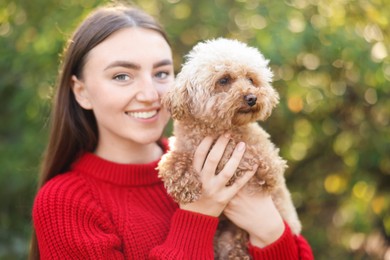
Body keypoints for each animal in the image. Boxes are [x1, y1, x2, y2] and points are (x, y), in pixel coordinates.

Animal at [158, 37, 302, 258]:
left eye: (251, 79)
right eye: (224, 80)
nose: (252, 98)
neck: (215, 128)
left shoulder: (268, 163)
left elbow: (241, 153)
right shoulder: (183, 145)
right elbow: (173, 160)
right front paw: (183, 183)